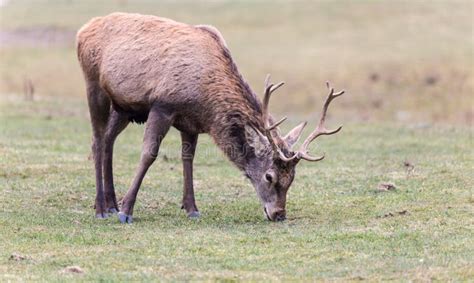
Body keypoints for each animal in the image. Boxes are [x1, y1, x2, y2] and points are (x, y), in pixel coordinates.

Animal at [77, 12, 344, 224]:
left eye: (292, 178)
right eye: (270, 176)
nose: (279, 214)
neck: (206, 99)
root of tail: (83, 30)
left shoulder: (190, 121)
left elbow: (188, 159)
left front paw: (191, 208)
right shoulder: (163, 106)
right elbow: (149, 154)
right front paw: (127, 211)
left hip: (124, 107)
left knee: (108, 140)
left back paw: (110, 203)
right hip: (93, 85)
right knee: (97, 140)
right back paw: (102, 209)